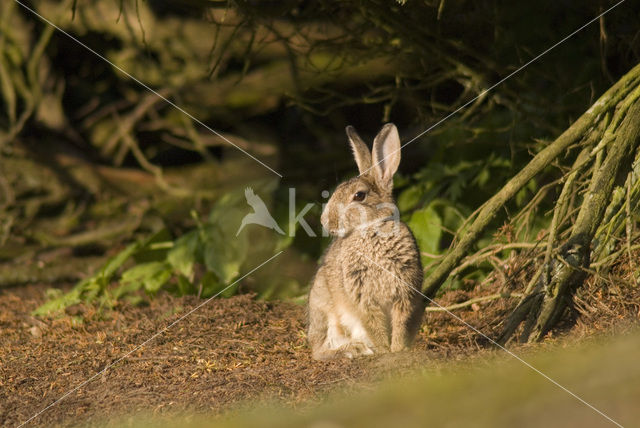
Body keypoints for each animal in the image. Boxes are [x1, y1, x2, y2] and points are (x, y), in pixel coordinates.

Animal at [308, 123, 424, 362]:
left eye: (359, 196)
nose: (326, 221)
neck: (372, 230)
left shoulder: (405, 293)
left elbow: (400, 323)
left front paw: (398, 349)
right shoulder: (362, 298)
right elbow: (374, 325)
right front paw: (385, 350)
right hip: (323, 311)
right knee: (319, 351)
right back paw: (353, 349)